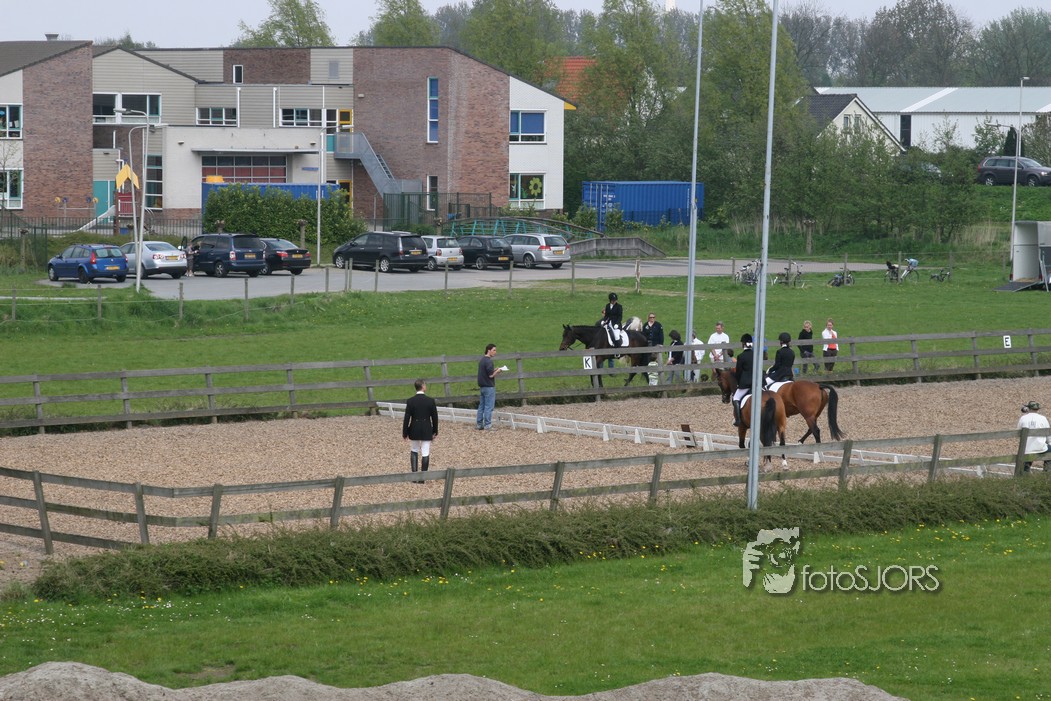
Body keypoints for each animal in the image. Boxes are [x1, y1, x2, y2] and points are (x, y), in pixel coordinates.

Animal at [714, 368, 844, 444]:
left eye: (719, 382)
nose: (724, 399)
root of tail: (818, 386)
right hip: (813, 415)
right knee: (811, 429)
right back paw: (800, 441)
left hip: (808, 415)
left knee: (815, 430)